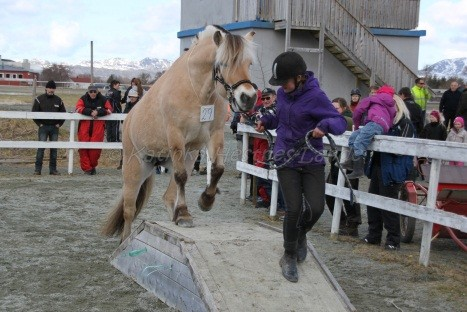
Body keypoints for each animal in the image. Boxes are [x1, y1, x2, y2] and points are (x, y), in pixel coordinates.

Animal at [100, 25, 258, 243]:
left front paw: (205, 201)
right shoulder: (176, 137)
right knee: (129, 211)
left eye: (248, 63)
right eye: (224, 63)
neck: (197, 93)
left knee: (168, 197)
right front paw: (184, 213)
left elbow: (218, 169)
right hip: (134, 169)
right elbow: (182, 177)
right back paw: (126, 240)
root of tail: (129, 118)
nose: (248, 98)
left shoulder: (214, 134)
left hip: (186, 158)